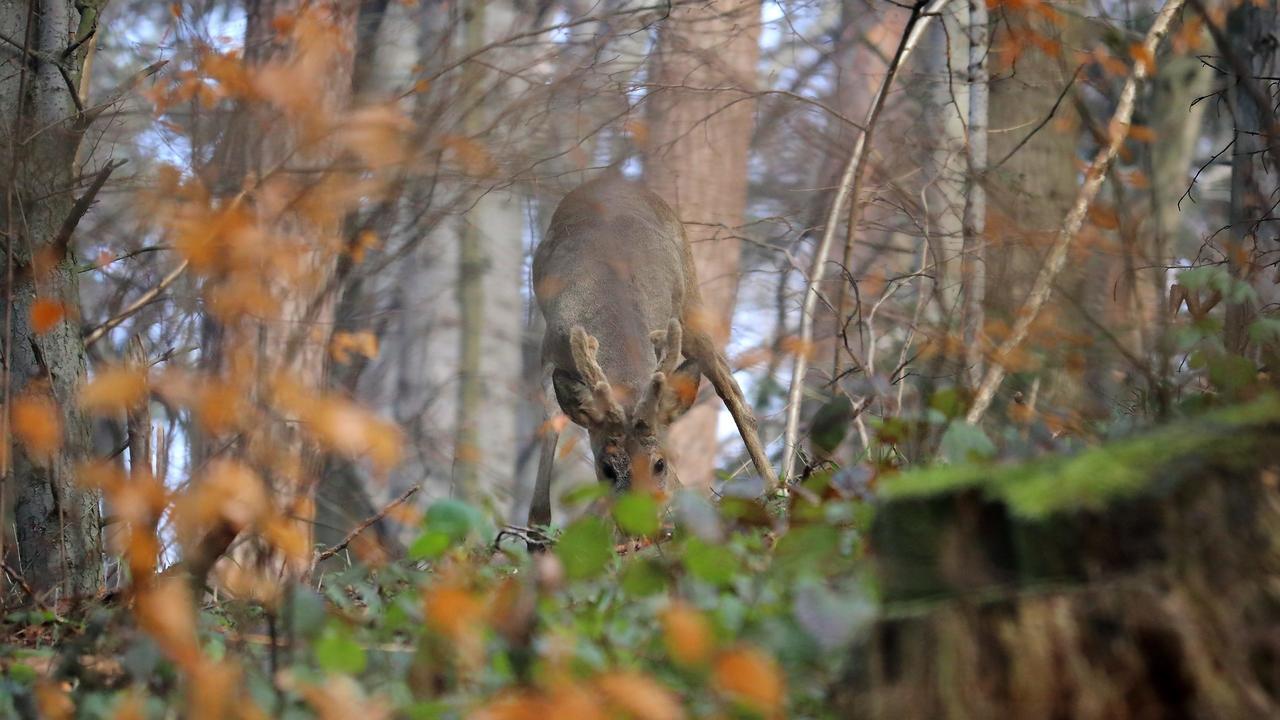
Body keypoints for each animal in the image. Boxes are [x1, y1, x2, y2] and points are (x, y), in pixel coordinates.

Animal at [524, 174, 773, 525]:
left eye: (659, 464)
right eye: (607, 469)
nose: (639, 522)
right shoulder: (551, 349)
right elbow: (549, 422)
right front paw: (537, 527)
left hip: (690, 296)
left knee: (730, 388)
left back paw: (775, 486)